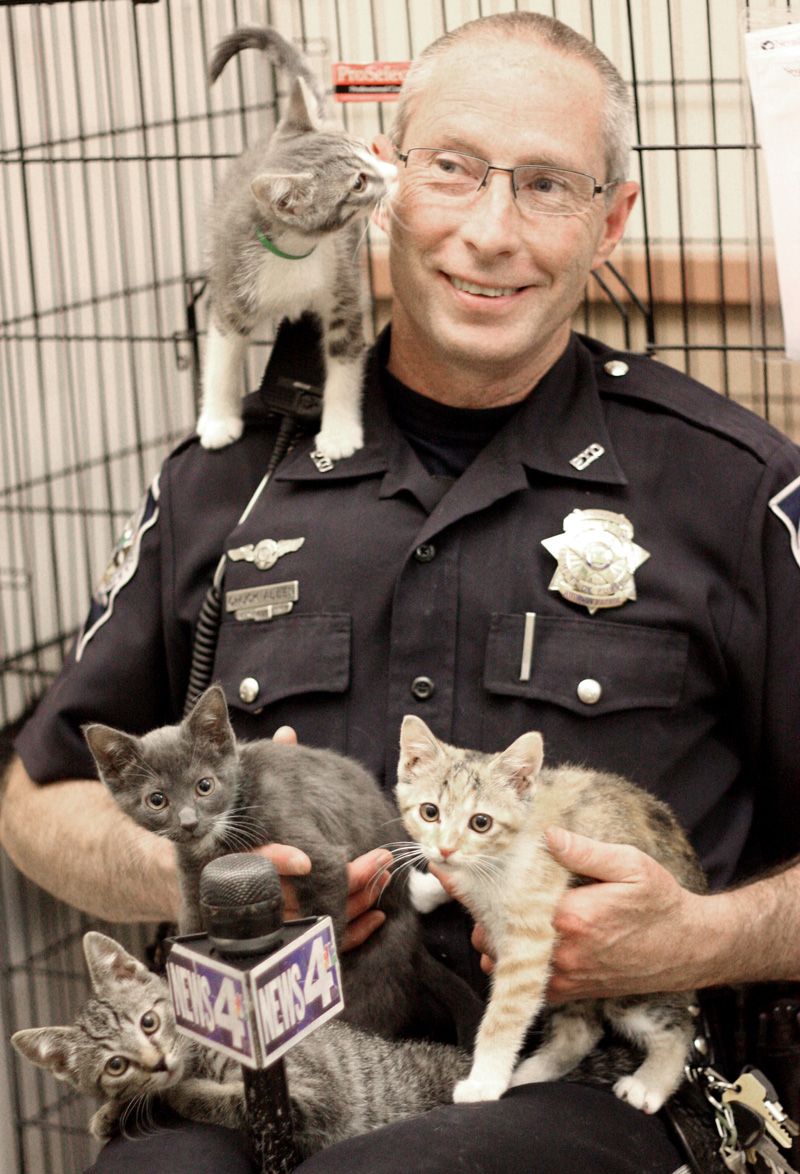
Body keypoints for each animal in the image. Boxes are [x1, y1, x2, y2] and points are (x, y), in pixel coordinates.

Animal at [10, 929, 467, 1150]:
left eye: (149, 1022)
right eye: (116, 1065)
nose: (157, 1063)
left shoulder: (310, 1096)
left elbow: (225, 1100)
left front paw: (174, 1095)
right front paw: (112, 1112)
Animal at [199, 26, 392, 457]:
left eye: (366, 149)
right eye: (358, 183)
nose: (393, 170)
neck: (294, 251)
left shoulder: (343, 293)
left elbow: (344, 360)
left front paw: (339, 432)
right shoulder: (231, 288)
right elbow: (222, 356)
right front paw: (217, 420)